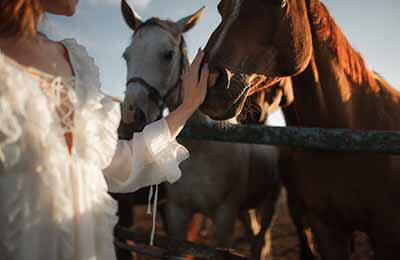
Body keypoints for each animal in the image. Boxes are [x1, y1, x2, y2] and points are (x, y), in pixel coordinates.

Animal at [118, 1, 282, 258]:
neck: (201, 149)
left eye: (168, 54)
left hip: (269, 203)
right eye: (127, 55)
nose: (130, 117)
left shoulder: (224, 217)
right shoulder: (177, 214)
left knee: (261, 239)